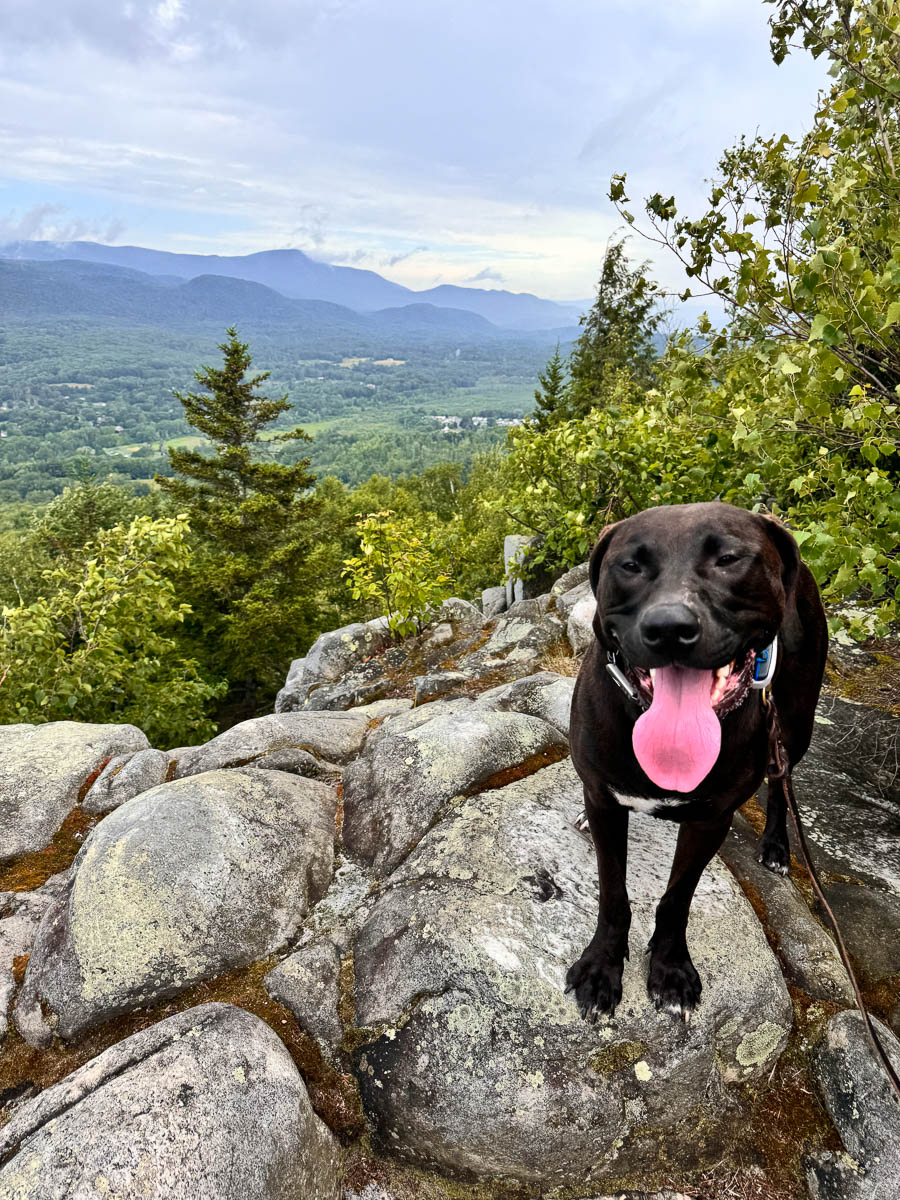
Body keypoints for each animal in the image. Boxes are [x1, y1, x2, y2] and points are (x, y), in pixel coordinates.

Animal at [566, 501, 830, 1017]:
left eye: (728, 558)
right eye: (630, 565)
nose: (669, 628)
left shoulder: (711, 820)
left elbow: (676, 900)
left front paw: (670, 970)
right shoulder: (605, 803)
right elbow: (613, 892)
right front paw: (601, 966)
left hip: (795, 721)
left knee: (781, 782)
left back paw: (775, 846)